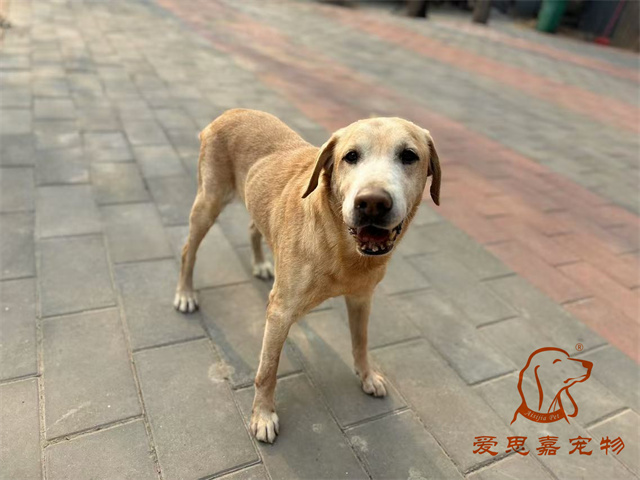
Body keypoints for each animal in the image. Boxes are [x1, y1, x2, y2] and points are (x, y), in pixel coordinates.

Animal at [174, 109, 441, 443]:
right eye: (350, 156)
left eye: (409, 156)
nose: (372, 203)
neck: (340, 244)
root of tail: (231, 112)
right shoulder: (280, 311)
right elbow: (267, 370)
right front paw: (263, 415)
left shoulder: (362, 298)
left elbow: (361, 341)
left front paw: (366, 375)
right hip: (208, 203)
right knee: (188, 250)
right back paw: (185, 293)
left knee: (253, 227)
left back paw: (261, 263)